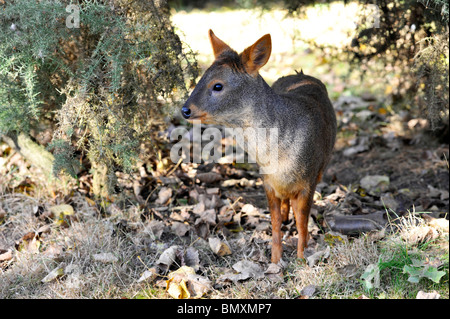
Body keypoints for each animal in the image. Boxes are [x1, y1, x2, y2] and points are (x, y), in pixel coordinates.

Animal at [181, 30, 336, 264]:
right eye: (200, 79)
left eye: (218, 85)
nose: (185, 109)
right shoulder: (268, 181)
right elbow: (274, 223)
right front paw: (275, 260)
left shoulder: (307, 181)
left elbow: (302, 224)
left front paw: (301, 259)